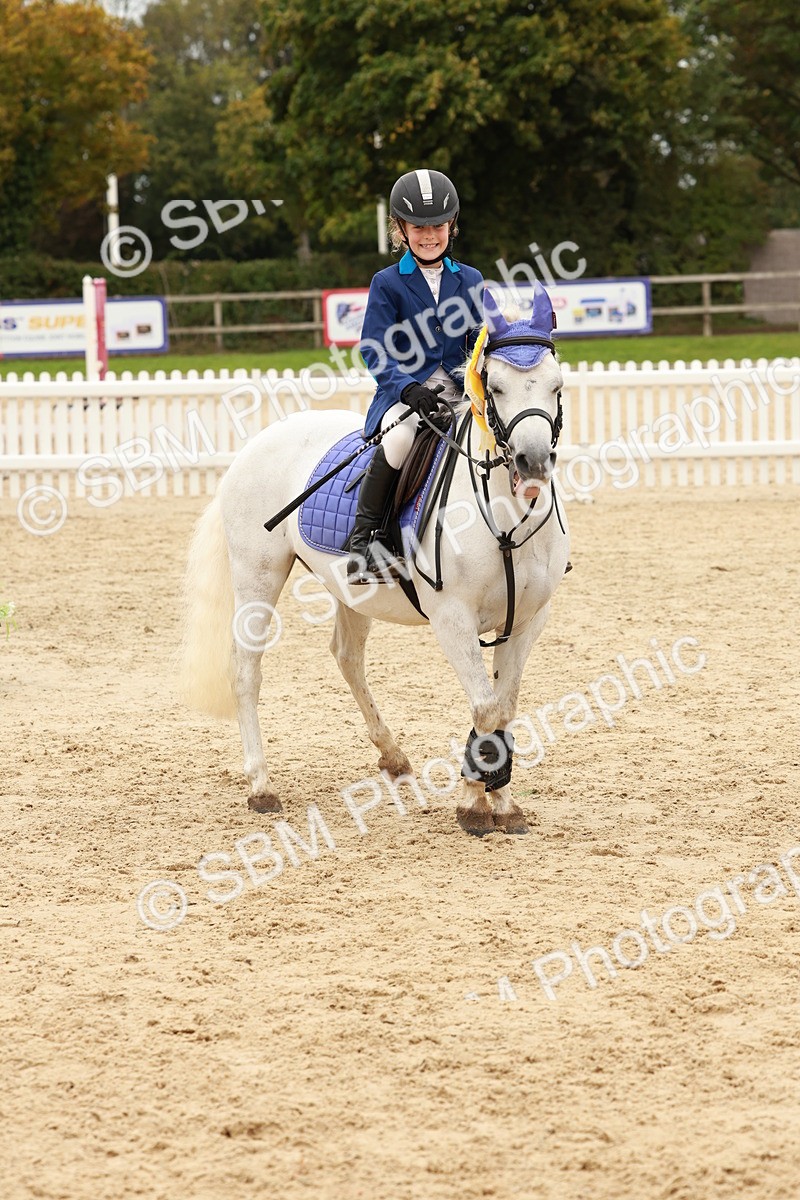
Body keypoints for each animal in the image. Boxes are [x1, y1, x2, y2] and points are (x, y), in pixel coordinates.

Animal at [179, 289, 570, 836]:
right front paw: (475, 804)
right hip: (257, 576)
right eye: (495, 385)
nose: (532, 464)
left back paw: (393, 755)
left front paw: (503, 803)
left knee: (347, 657)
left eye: (557, 385)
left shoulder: (530, 619)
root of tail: (257, 442)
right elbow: (486, 708)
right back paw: (261, 785)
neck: (507, 518)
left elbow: (505, 709)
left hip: (349, 589)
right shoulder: (452, 618)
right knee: (245, 671)